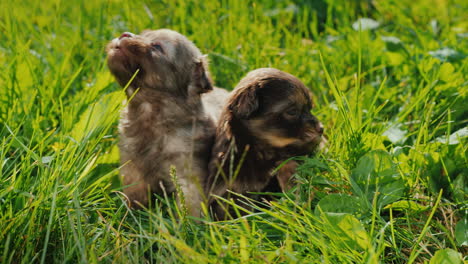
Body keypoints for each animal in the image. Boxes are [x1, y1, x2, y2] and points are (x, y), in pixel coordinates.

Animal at [106, 28, 227, 217]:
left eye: (157, 46)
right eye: (143, 34)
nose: (125, 34)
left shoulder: (188, 176)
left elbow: (189, 207)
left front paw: (186, 225)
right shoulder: (132, 168)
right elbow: (134, 195)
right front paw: (130, 216)